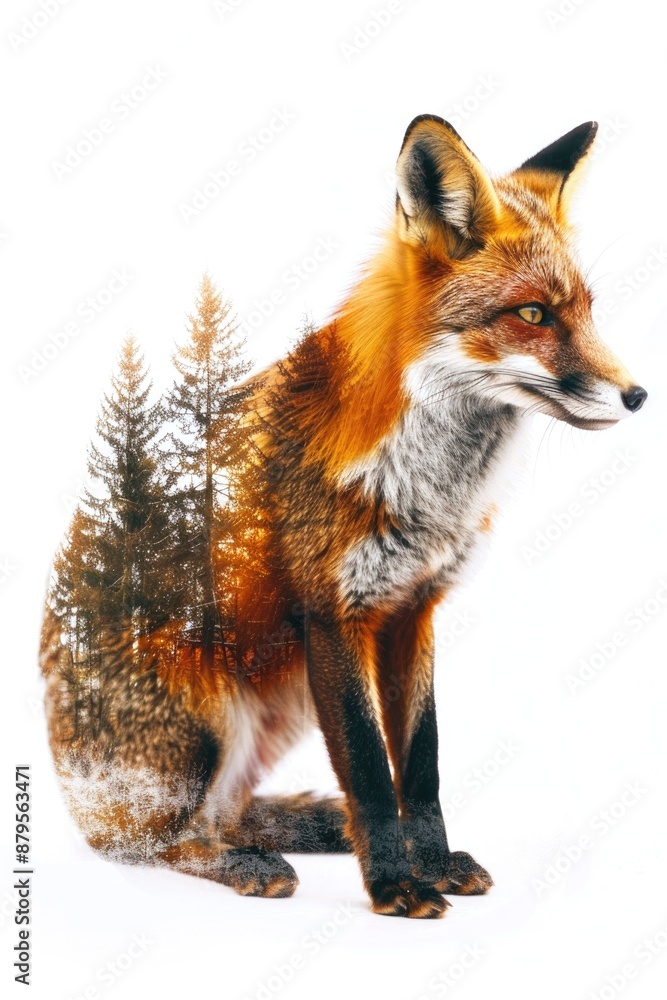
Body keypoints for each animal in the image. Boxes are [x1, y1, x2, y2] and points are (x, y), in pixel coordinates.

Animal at [41, 115, 647, 918]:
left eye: (585, 309)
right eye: (531, 314)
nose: (638, 395)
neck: (429, 490)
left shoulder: (412, 610)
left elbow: (418, 767)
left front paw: (432, 862)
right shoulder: (333, 615)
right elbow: (367, 769)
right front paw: (394, 885)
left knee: (222, 814)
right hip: (211, 705)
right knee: (154, 841)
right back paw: (247, 863)